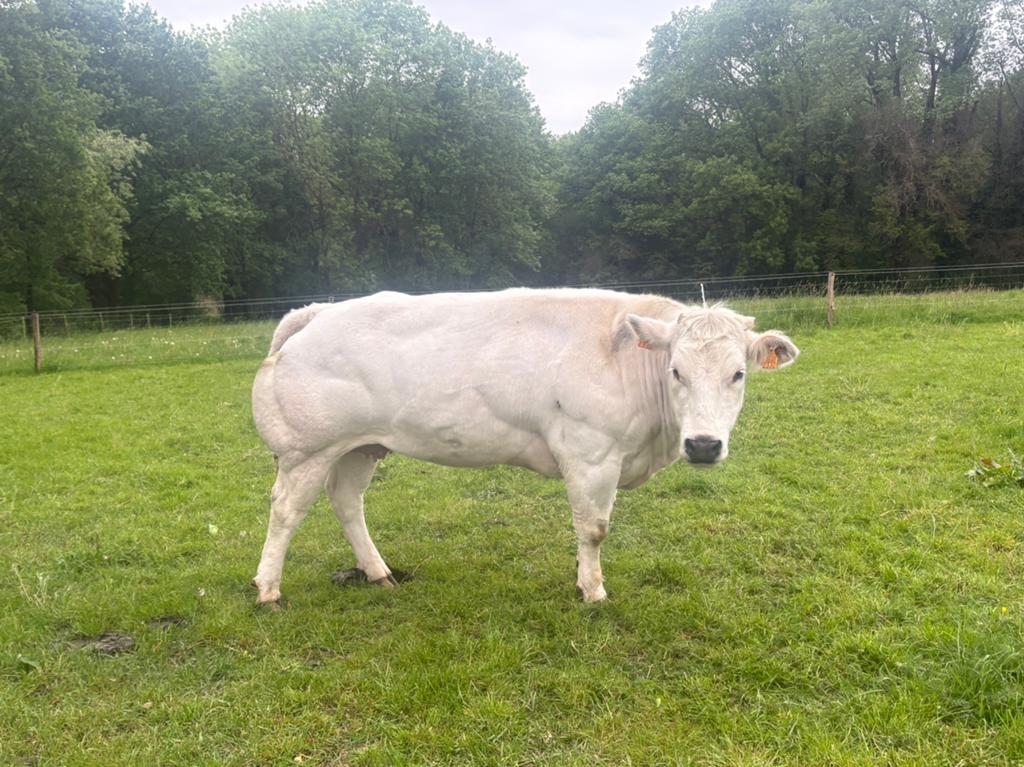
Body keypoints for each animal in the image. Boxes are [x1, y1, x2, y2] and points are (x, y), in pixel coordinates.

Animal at [250, 288, 799, 605]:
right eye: (676, 370)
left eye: (738, 374)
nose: (703, 445)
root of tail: (316, 312)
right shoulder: (590, 452)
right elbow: (594, 529)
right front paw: (593, 590)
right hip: (308, 449)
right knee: (285, 511)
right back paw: (268, 589)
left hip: (359, 446)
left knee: (347, 501)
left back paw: (378, 572)